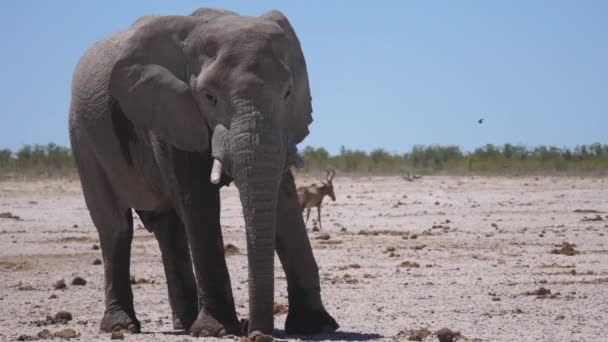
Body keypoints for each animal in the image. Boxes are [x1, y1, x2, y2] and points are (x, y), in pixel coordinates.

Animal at [69, 7, 340, 336]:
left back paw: (184, 323)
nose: (256, 330)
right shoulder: (170, 110)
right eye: (209, 97)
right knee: (115, 225)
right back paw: (122, 326)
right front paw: (217, 330)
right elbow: (198, 201)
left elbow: (283, 200)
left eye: (288, 92)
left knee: (169, 227)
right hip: (82, 138)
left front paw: (318, 326)